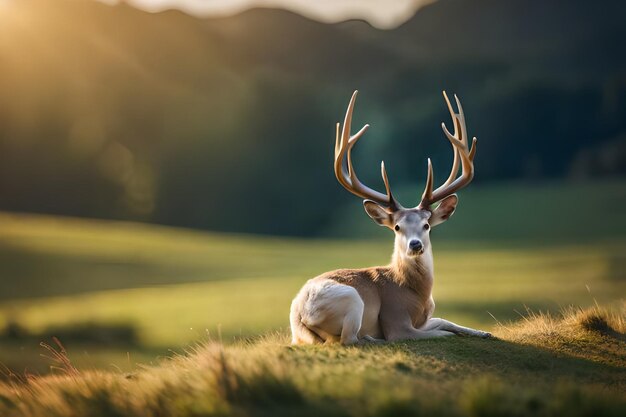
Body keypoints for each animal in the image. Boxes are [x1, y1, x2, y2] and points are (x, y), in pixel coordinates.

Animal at [288, 89, 492, 342]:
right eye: (397, 227)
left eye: (427, 225)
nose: (415, 244)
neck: (413, 292)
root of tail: (301, 314)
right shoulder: (396, 319)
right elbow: (442, 332)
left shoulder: (424, 319)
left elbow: (445, 320)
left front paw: (483, 332)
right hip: (352, 299)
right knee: (348, 339)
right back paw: (370, 338)